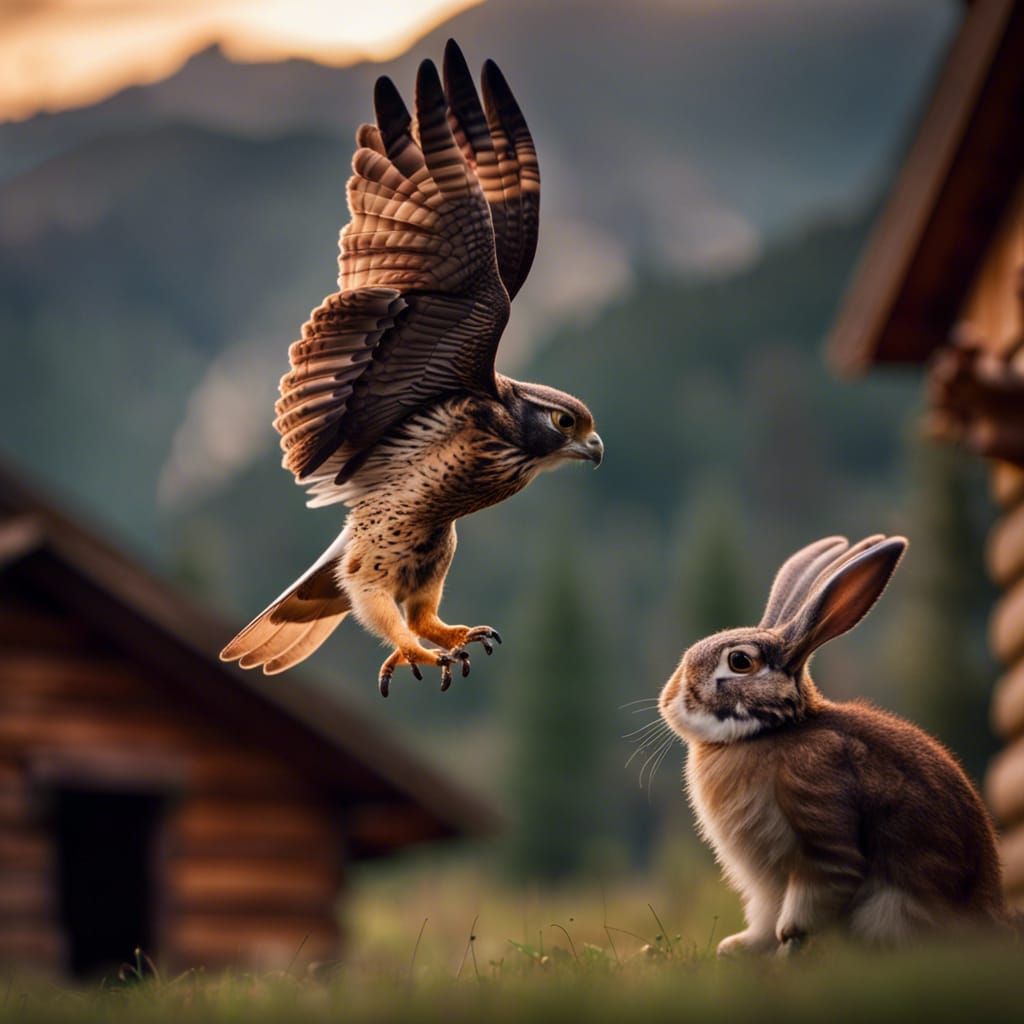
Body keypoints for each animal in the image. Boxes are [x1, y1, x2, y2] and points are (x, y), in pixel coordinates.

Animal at [658, 534, 1011, 955]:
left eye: (740, 661)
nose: (668, 702)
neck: (776, 730)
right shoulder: (766, 889)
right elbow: (764, 921)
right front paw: (739, 948)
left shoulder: (820, 829)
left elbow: (805, 907)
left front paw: (786, 950)